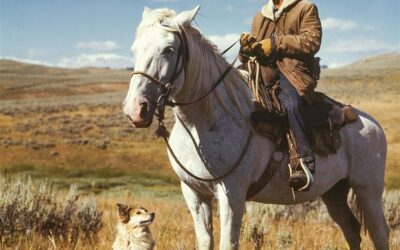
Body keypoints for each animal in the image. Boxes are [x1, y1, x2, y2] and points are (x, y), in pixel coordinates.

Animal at [123, 6, 390, 250]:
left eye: (168, 49)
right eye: (134, 48)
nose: (135, 108)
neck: (204, 123)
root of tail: (371, 123)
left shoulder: (232, 194)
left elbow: (228, 243)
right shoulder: (193, 194)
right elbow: (205, 241)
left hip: (368, 190)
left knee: (379, 232)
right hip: (334, 191)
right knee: (351, 229)